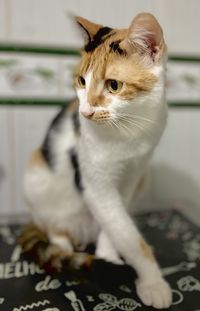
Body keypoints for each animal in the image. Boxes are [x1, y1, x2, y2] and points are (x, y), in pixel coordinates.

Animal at [19, 12, 172, 310]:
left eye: (114, 85)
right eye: (81, 81)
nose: (86, 111)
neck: (130, 130)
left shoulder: (132, 176)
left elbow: (115, 226)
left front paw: (108, 255)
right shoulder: (95, 183)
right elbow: (130, 237)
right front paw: (153, 283)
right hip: (36, 180)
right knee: (52, 227)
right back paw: (64, 247)